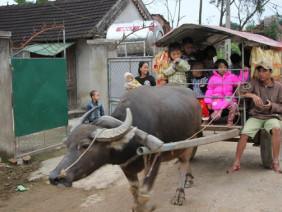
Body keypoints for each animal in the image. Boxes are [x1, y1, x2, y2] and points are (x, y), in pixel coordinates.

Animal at [49, 85, 202, 211]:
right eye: (68, 145)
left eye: (85, 146)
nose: (54, 177)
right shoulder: (125, 165)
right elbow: (134, 189)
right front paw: (136, 206)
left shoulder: (156, 156)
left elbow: (145, 191)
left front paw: (147, 206)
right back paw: (189, 179)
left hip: (192, 138)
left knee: (184, 163)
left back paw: (179, 193)